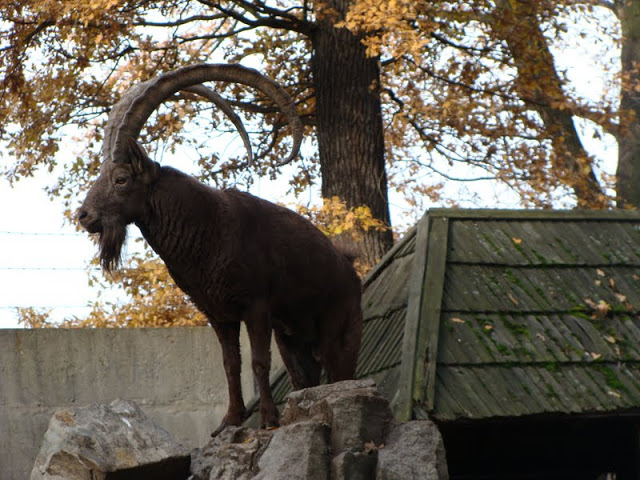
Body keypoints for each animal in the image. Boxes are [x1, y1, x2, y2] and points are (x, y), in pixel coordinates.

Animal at [77, 64, 363, 435]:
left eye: (121, 179)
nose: (84, 216)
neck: (209, 231)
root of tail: (351, 272)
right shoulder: (217, 313)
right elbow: (230, 365)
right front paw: (229, 421)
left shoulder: (257, 306)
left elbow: (258, 362)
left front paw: (267, 420)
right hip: (293, 340)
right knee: (305, 378)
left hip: (338, 331)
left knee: (341, 373)